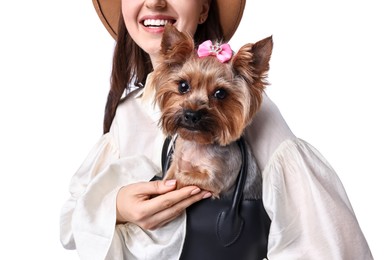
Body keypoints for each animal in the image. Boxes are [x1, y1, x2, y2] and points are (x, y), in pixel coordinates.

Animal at [153, 24, 274, 199]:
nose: (192, 115)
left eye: (220, 93)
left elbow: (182, 178)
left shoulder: (216, 180)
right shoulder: (175, 163)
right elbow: (169, 177)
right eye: (183, 86)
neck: (197, 143)